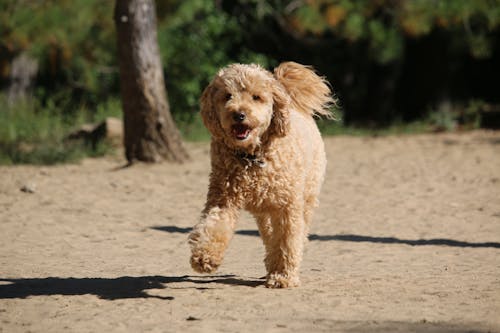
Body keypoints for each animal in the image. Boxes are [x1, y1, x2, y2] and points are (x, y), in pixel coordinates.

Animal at [189, 63, 334, 288]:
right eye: (227, 96)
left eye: (256, 97)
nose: (238, 114)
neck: (252, 157)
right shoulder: (223, 198)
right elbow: (214, 225)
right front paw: (205, 256)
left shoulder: (287, 207)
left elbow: (288, 240)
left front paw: (284, 276)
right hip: (264, 212)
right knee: (269, 237)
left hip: (307, 196)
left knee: (298, 232)